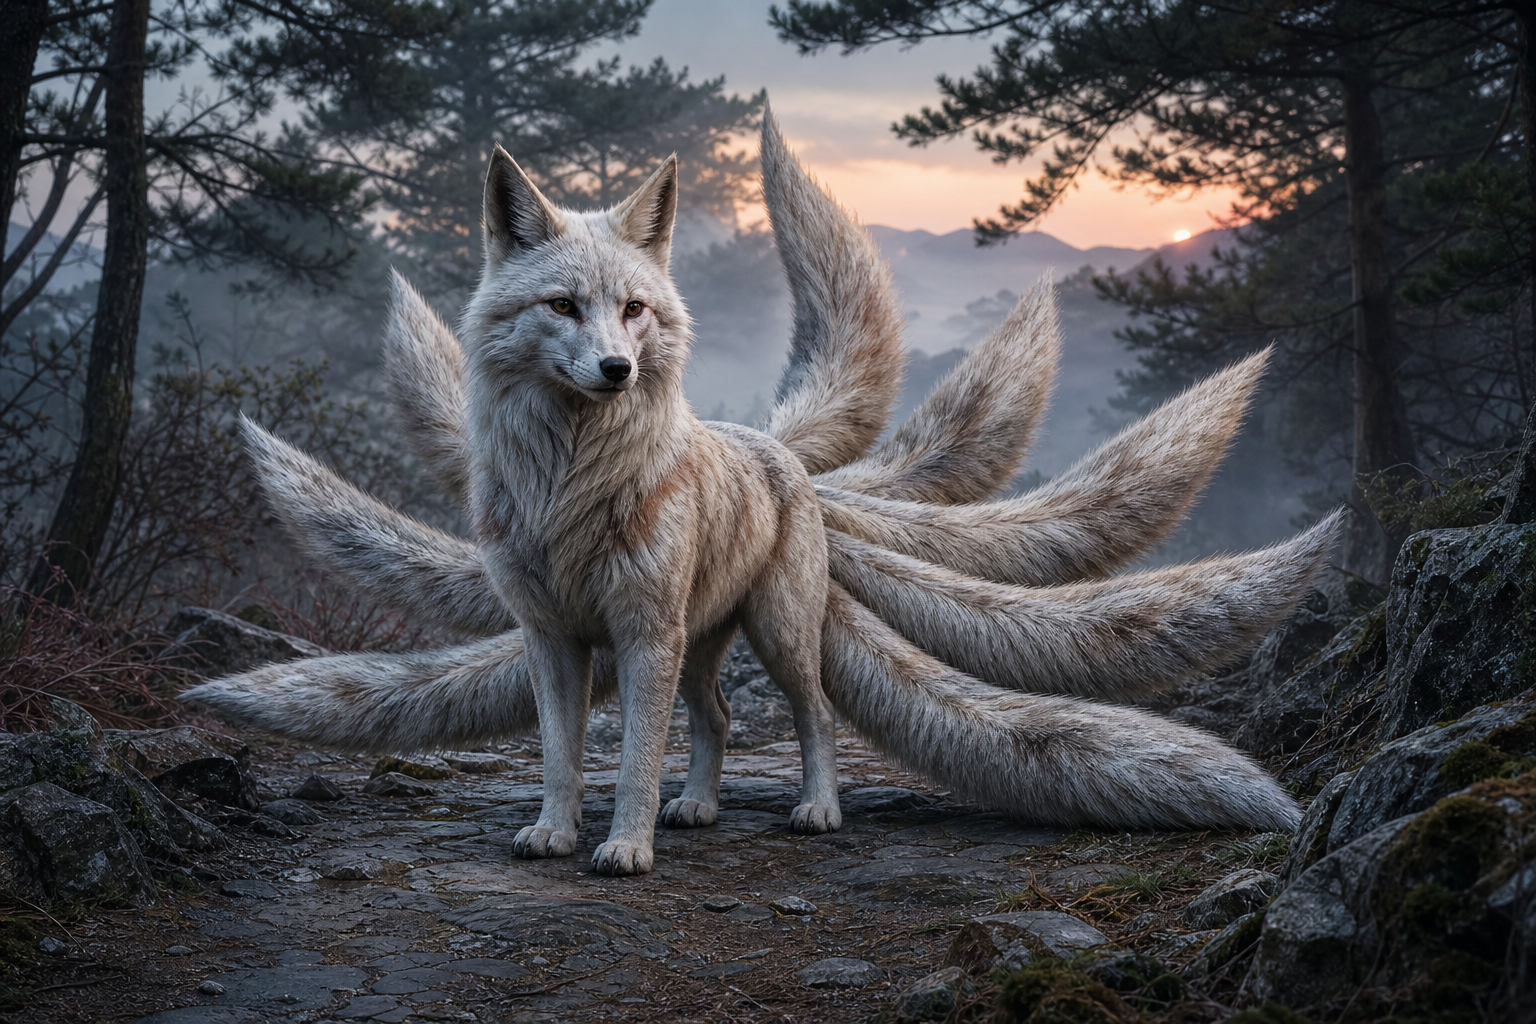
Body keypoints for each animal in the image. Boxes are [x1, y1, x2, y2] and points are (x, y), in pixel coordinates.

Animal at [184, 110, 1341, 876]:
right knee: (719, 720)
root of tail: (779, 454)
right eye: (563, 307)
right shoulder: (556, 639)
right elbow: (562, 754)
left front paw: (626, 847)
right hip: (702, 641)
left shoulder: (638, 633)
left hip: (775, 630)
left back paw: (813, 813)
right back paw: (700, 808)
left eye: (634, 310)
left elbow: (632, 759)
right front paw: (558, 833)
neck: (571, 486)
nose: (616, 371)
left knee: (812, 714)